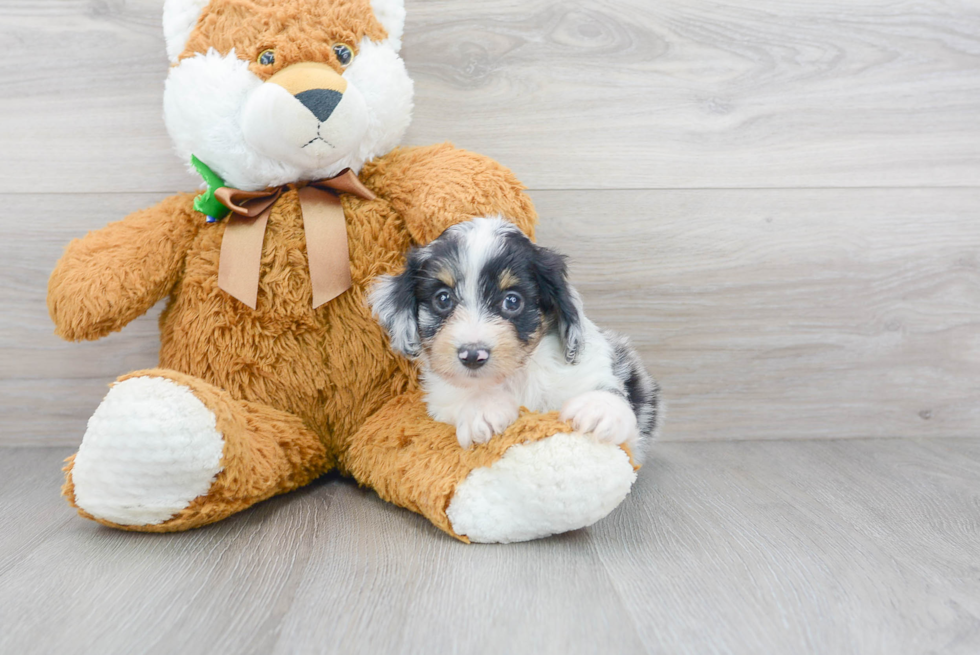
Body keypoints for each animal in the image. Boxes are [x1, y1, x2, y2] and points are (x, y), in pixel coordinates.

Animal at [372, 218, 664, 464]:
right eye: (443, 299)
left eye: (512, 301)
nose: (472, 355)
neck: (516, 377)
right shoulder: (442, 401)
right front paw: (484, 410)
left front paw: (600, 410)